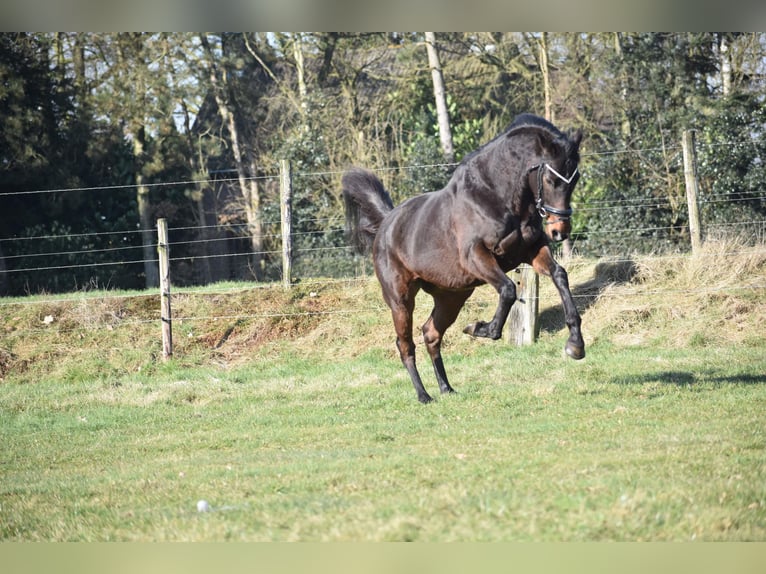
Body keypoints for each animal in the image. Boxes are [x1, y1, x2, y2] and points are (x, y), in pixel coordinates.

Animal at [344, 113, 584, 404]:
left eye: (575, 179)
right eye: (550, 180)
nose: (560, 231)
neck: (496, 196)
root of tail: (387, 223)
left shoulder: (532, 251)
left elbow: (559, 275)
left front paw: (575, 345)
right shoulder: (477, 257)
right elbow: (508, 290)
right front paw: (480, 328)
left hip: (452, 296)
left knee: (431, 333)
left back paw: (446, 388)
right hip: (400, 300)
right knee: (405, 344)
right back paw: (423, 395)